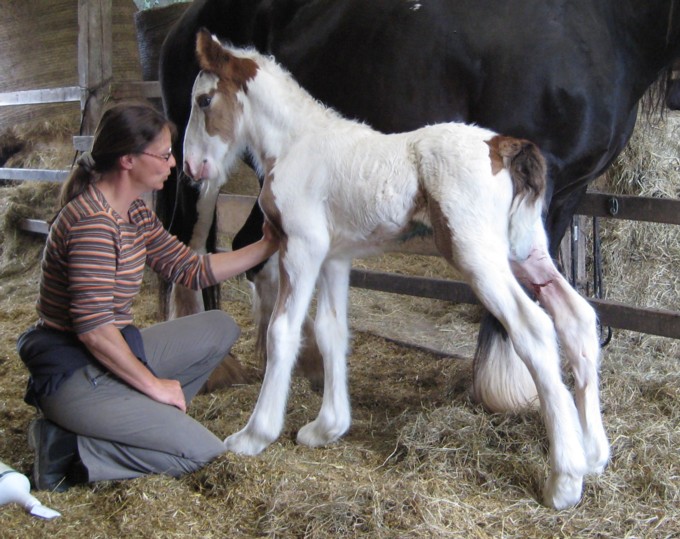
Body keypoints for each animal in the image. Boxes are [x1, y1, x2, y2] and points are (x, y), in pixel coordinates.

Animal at [183, 30, 608, 510]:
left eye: (203, 100)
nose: (191, 167)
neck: (296, 143)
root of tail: (502, 146)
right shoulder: (334, 256)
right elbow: (331, 331)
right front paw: (327, 428)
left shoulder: (303, 248)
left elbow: (282, 331)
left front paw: (254, 435)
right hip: (527, 250)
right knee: (576, 317)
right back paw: (593, 454)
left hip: (478, 256)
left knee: (534, 330)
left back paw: (564, 480)